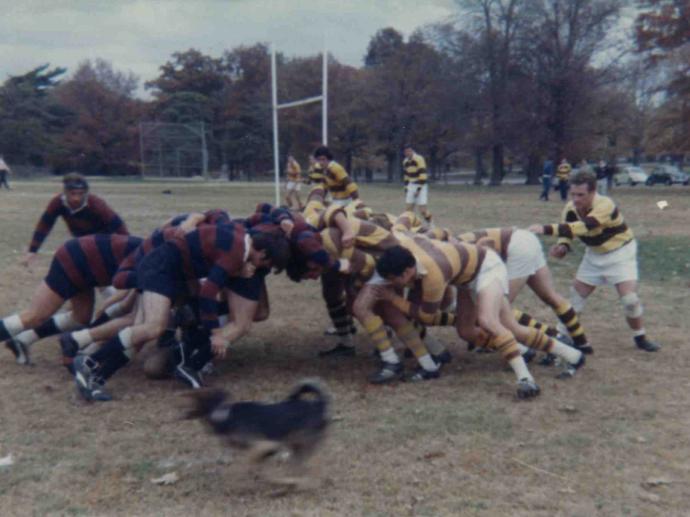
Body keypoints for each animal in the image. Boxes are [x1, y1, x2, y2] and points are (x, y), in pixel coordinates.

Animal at [184, 378, 330, 484]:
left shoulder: (264, 445)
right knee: (300, 465)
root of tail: (319, 405)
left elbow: (247, 463)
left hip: (304, 444)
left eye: (196, 397)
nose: (186, 392)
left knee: (316, 464)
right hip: (296, 447)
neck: (224, 415)